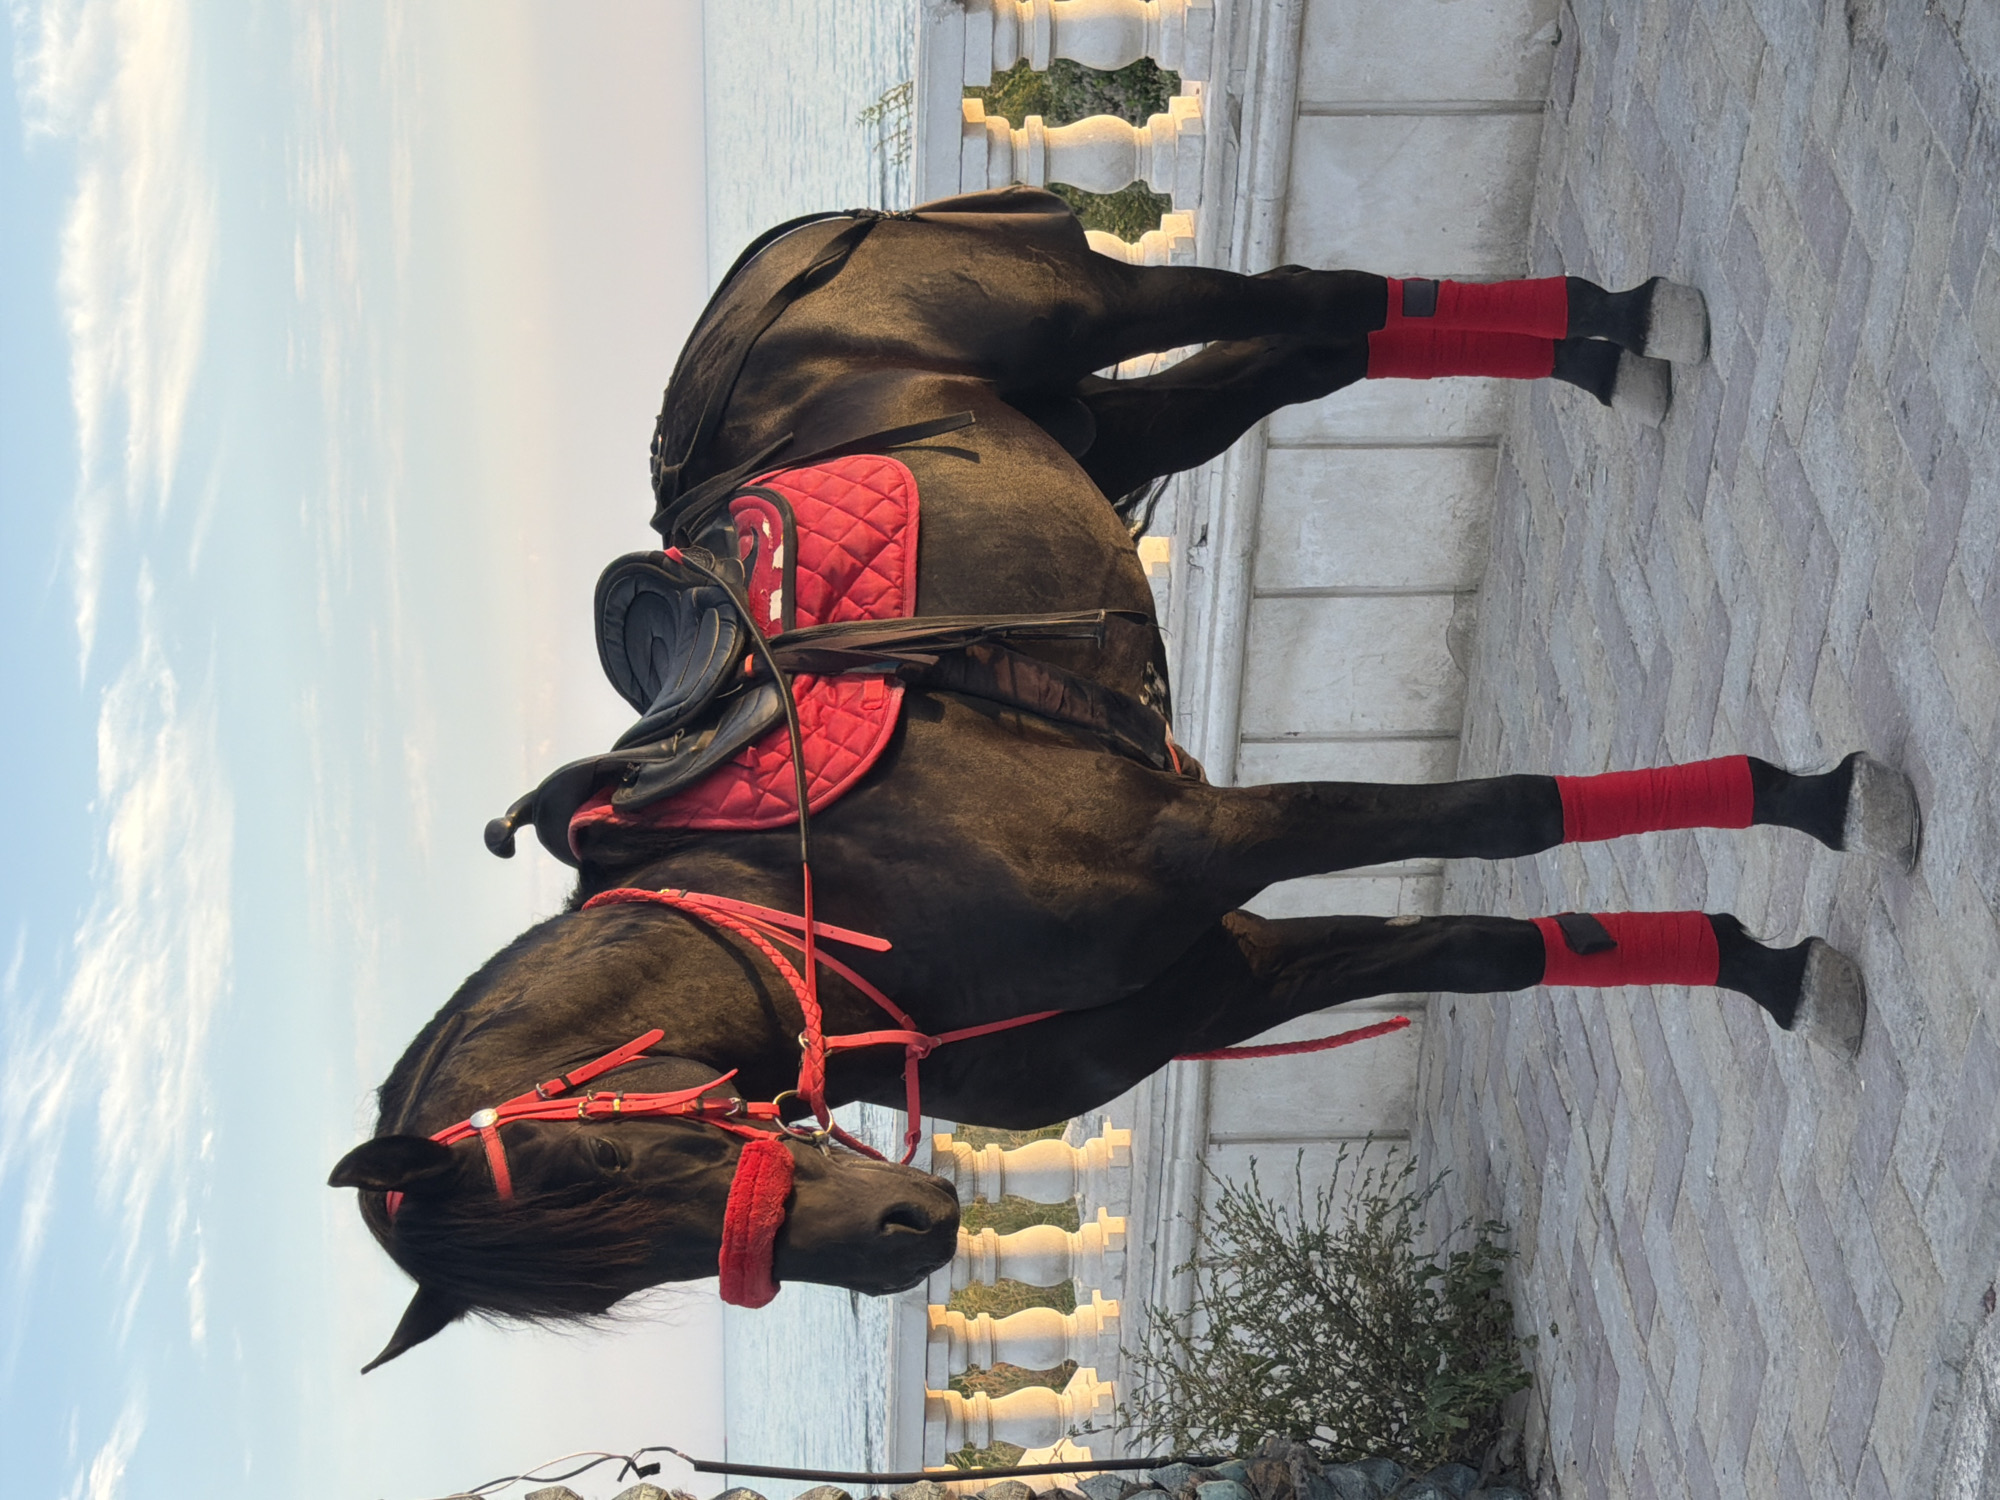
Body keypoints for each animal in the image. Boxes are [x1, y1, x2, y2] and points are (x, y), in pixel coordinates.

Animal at [328, 189, 1918, 1372]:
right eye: (610, 1282)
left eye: (601, 1166)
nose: (902, 1241)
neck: (839, 909)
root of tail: (777, 270)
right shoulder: (1218, 978)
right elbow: (1488, 950)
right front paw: (1753, 960)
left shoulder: (1213, 839)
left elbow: (1502, 816)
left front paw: (1805, 803)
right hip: (1108, 426)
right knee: (1307, 353)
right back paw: (1600, 346)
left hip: (1087, 306)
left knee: (1304, 296)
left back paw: (1623, 318)